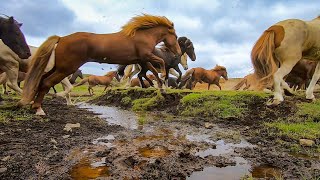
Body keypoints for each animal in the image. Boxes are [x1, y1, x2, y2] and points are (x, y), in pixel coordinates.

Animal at [18, 14, 181, 115]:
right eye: (175, 36)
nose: (179, 53)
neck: (143, 36)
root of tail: (62, 38)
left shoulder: (142, 59)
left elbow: (152, 71)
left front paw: (161, 87)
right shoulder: (146, 56)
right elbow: (159, 64)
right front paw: (163, 79)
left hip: (58, 68)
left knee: (40, 80)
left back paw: (33, 104)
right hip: (66, 68)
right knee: (46, 82)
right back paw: (39, 109)